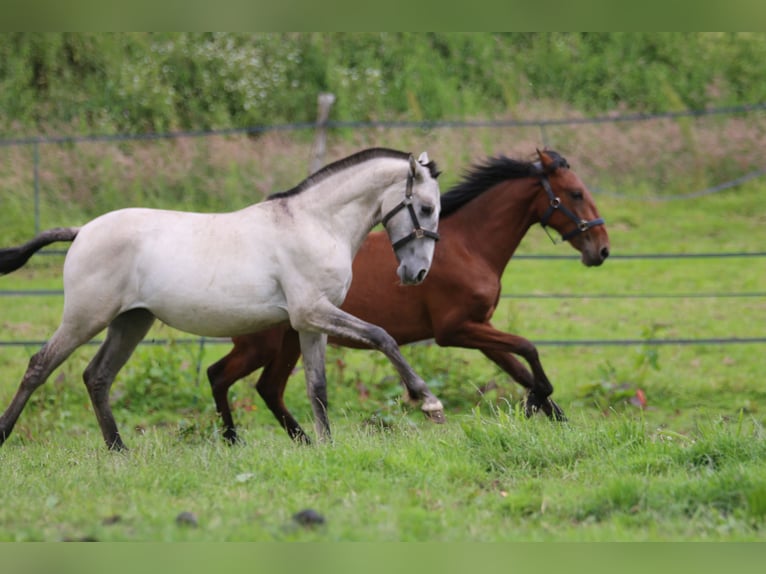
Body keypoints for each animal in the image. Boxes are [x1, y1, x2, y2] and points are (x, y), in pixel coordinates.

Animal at [0, 147, 444, 450]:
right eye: (425, 208)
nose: (417, 273)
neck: (316, 224)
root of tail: (82, 231)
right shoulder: (313, 312)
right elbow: (382, 336)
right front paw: (428, 402)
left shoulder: (310, 323)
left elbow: (317, 386)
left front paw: (326, 445)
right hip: (85, 317)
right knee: (40, 366)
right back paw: (7, 434)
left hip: (131, 322)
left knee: (97, 376)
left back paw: (119, 450)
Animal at [208, 150, 612, 446]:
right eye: (576, 193)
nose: (602, 249)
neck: (467, 245)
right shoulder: (457, 330)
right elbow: (529, 350)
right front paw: (532, 405)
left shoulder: (480, 329)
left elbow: (523, 370)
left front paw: (556, 419)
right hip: (263, 343)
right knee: (221, 376)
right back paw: (237, 440)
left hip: (291, 338)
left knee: (265, 387)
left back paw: (301, 441)